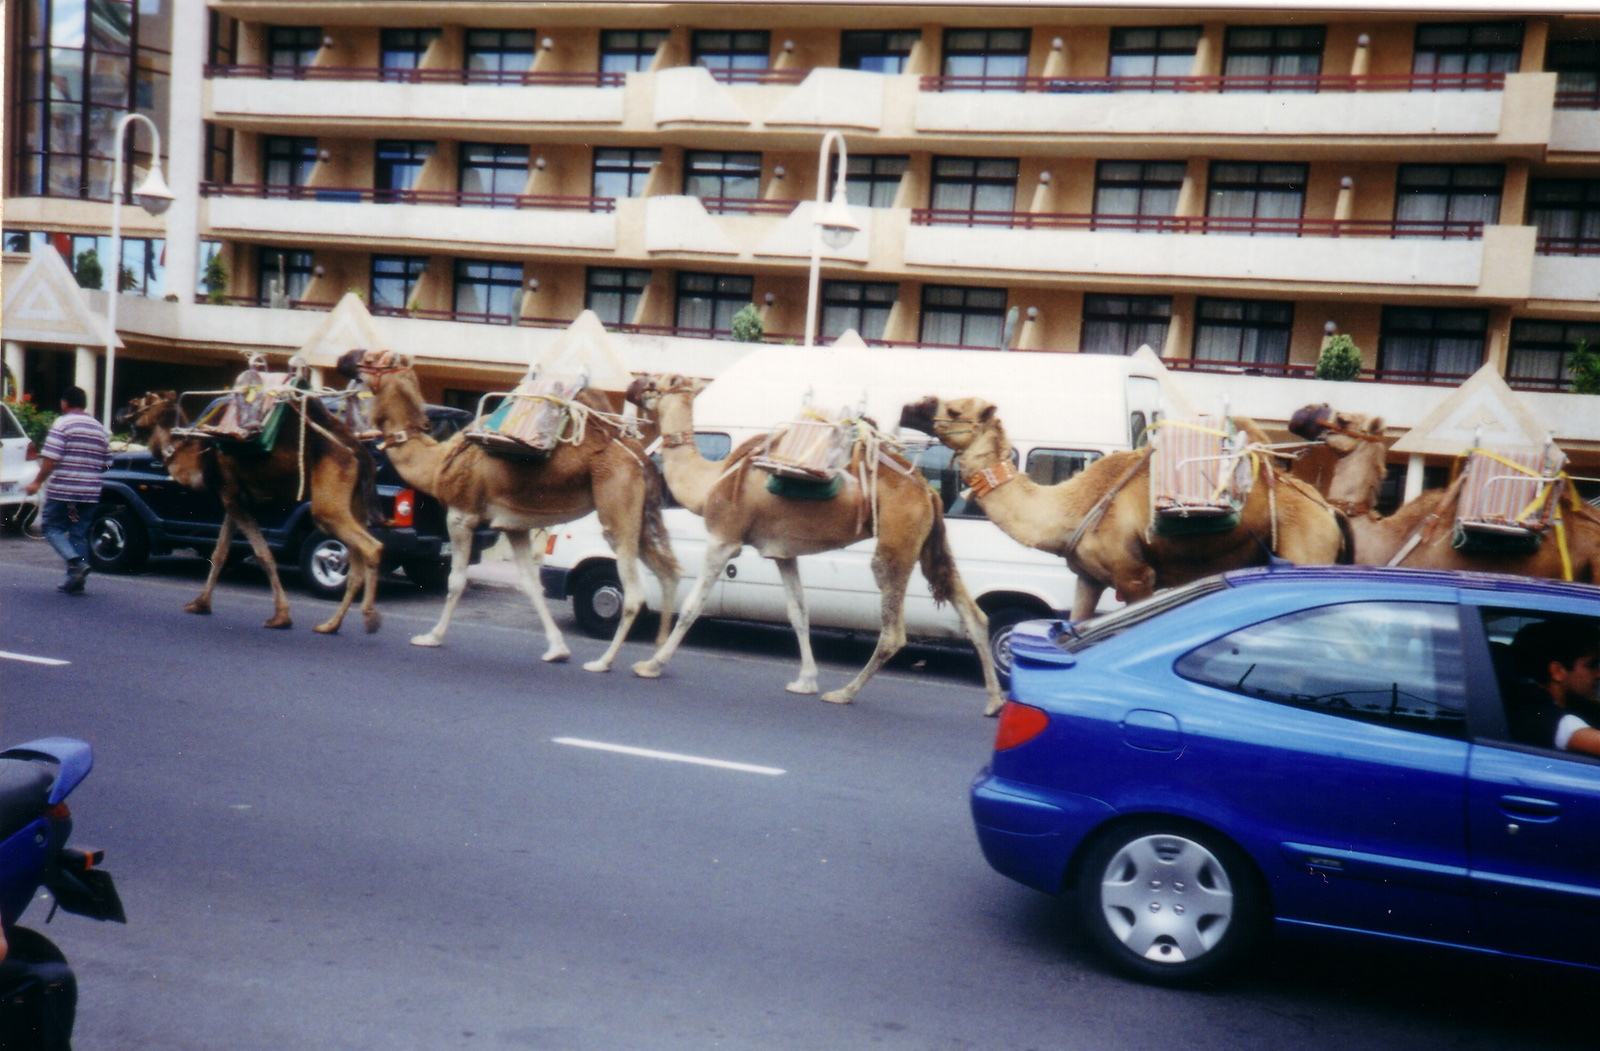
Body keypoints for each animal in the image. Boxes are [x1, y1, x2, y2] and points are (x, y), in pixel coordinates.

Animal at [116, 387, 384, 627]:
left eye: (140, 401)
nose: (120, 412)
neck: (200, 454)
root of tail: (358, 452)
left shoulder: (232, 497)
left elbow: (263, 553)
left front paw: (280, 617)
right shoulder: (234, 499)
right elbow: (220, 553)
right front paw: (200, 604)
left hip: (328, 505)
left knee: (371, 547)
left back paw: (370, 618)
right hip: (355, 504)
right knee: (356, 562)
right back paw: (330, 625)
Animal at [337, 348, 675, 668]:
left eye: (370, 358)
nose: (344, 359)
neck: (437, 464)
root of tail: (640, 458)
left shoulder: (461, 514)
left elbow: (456, 581)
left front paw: (431, 636)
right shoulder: (514, 525)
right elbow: (531, 585)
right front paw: (557, 650)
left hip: (617, 511)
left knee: (635, 593)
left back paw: (604, 662)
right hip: (640, 519)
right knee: (668, 575)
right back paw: (654, 661)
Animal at [620, 371, 1004, 713]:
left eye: (658, 381)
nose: (632, 385)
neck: (709, 483)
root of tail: (927, 490)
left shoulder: (724, 538)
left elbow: (691, 606)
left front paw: (651, 665)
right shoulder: (782, 552)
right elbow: (799, 613)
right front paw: (805, 680)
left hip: (897, 542)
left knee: (893, 630)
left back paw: (843, 693)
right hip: (929, 545)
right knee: (974, 615)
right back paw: (994, 702)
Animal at [902, 398, 1350, 617]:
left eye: (954, 409)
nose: (911, 408)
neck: (1072, 507)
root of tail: (1331, 514)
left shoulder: (1136, 578)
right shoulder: (1088, 578)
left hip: (1307, 552)